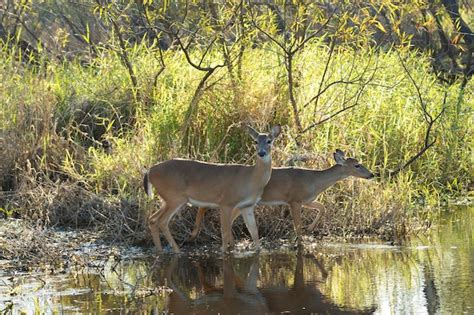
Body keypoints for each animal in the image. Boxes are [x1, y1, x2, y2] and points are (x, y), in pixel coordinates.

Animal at [143, 124, 280, 253]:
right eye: (255, 141)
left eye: (269, 141)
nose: (261, 153)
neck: (251, 179)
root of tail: (150, 171)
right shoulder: (226, 202)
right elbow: (225, 232)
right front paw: (224, 251)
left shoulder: (247, 206)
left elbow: (254, 233)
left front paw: (257, 250)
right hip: (175, 197)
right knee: (162, 221)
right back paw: (177, 251)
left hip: (167, 199)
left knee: (152, 219)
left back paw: (160, 250)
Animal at [185, 149, 374, 246]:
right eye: (357, 165)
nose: (372, 174)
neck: (314, 181)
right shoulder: (294, 199)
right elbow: (297, 226)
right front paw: (301, 241)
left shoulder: (306, 200)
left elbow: (322, 207)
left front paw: (310, 228)